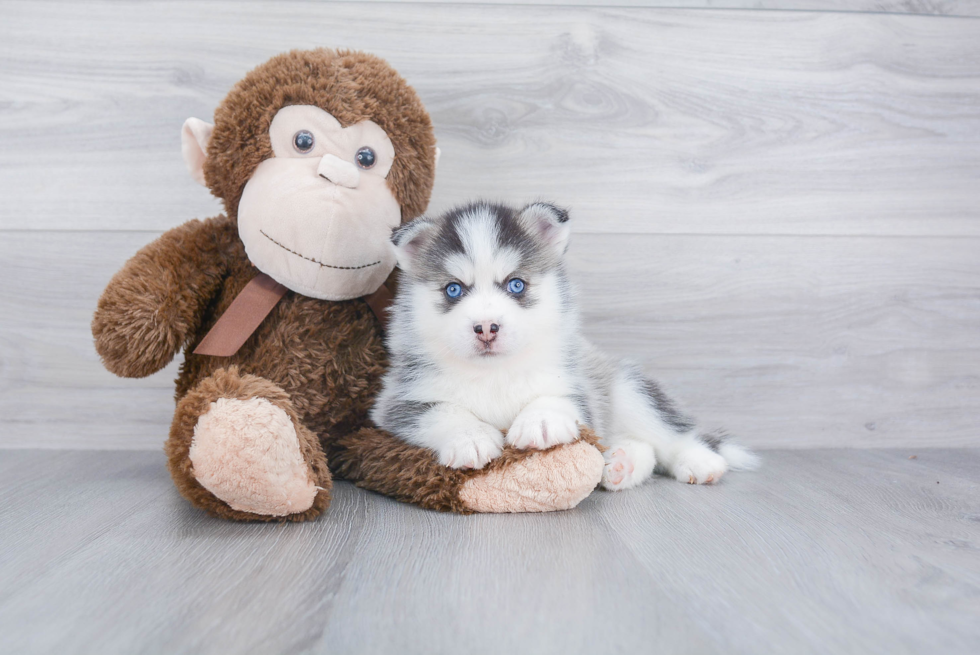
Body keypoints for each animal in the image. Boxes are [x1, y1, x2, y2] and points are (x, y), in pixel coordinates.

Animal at [370, 202, 756, 490]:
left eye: (515, 285)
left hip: (627, 388)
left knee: (669, 435)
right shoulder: (396, 404)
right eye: (453, 289)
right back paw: (621, 464)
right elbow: (441, 411)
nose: (486, 328)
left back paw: (699, 461)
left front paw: (540, 420)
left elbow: (556, 398)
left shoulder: (577, 387)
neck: (495, 373)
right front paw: (471, 436)